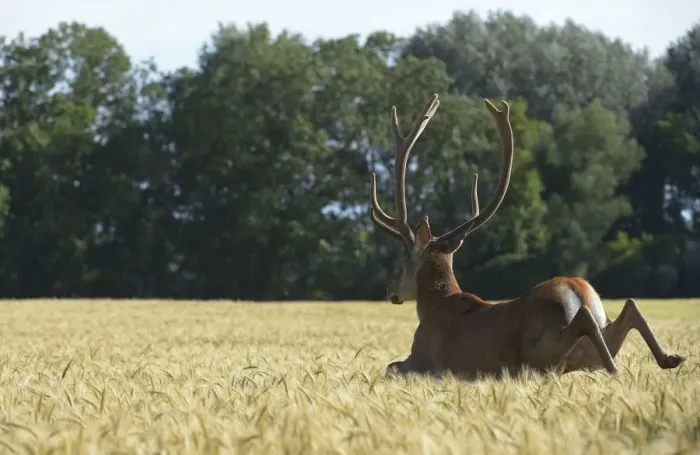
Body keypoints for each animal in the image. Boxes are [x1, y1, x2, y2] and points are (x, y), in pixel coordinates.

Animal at [369, 93, 687, 380]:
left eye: (404, 263)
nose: (390, 291)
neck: (432, 307)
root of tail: (577, 290)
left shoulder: (421, 358)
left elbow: (390, 367)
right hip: (588, 347)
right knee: (630, 307)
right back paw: (671, 358)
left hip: (541, 351)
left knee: (585, 323)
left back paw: (619, 371)